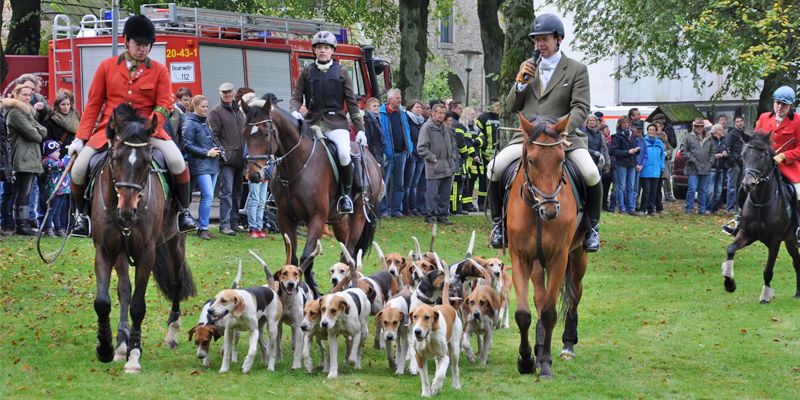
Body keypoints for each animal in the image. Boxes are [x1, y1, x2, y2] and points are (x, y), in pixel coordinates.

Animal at [88, 104, 195, 374]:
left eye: (147, 162)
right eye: (115, 158)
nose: (127, 211)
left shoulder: (147, 252)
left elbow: (138, 305)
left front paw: (134, 355)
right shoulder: (105, 250)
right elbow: (104, 301)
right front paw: (107, 347)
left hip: (174, 243)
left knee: (176, 282)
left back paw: (171, 333)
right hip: (121, 253)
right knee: (124, 289)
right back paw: (121, 344)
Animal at [241, 97, 384, 296]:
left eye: (265, 133)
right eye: (245, 134)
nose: (253, 174)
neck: (296, 165)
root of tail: (371, 159)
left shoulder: (317, 218)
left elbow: (306, 258)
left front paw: (314, 290)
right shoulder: (285, 218)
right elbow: (292, 258)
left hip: (359, 216)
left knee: (349, 252)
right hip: (339, 220)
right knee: (346, 253)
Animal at [512, 115, 588, 378]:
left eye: (561, 159)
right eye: (532, 160)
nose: (550, 210)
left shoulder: (558, 258)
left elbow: (549, 312)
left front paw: (544, 363)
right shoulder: (520, 258)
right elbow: (524, 313)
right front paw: (526, 360)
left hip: (578, 255)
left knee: (575, 293)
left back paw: (567, 346)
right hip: (537, 262)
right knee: (539, 296)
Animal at [720, 133, 800, 302]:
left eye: (762, 156)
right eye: (743, 155)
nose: (747, 184)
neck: (760, 202)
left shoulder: (775, 241)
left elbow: (768, 270)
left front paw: (765, 296)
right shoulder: (747, 234)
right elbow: (730, 250)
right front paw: (729, 284)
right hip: (790, 240)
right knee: (797, 262)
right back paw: (798, 293)